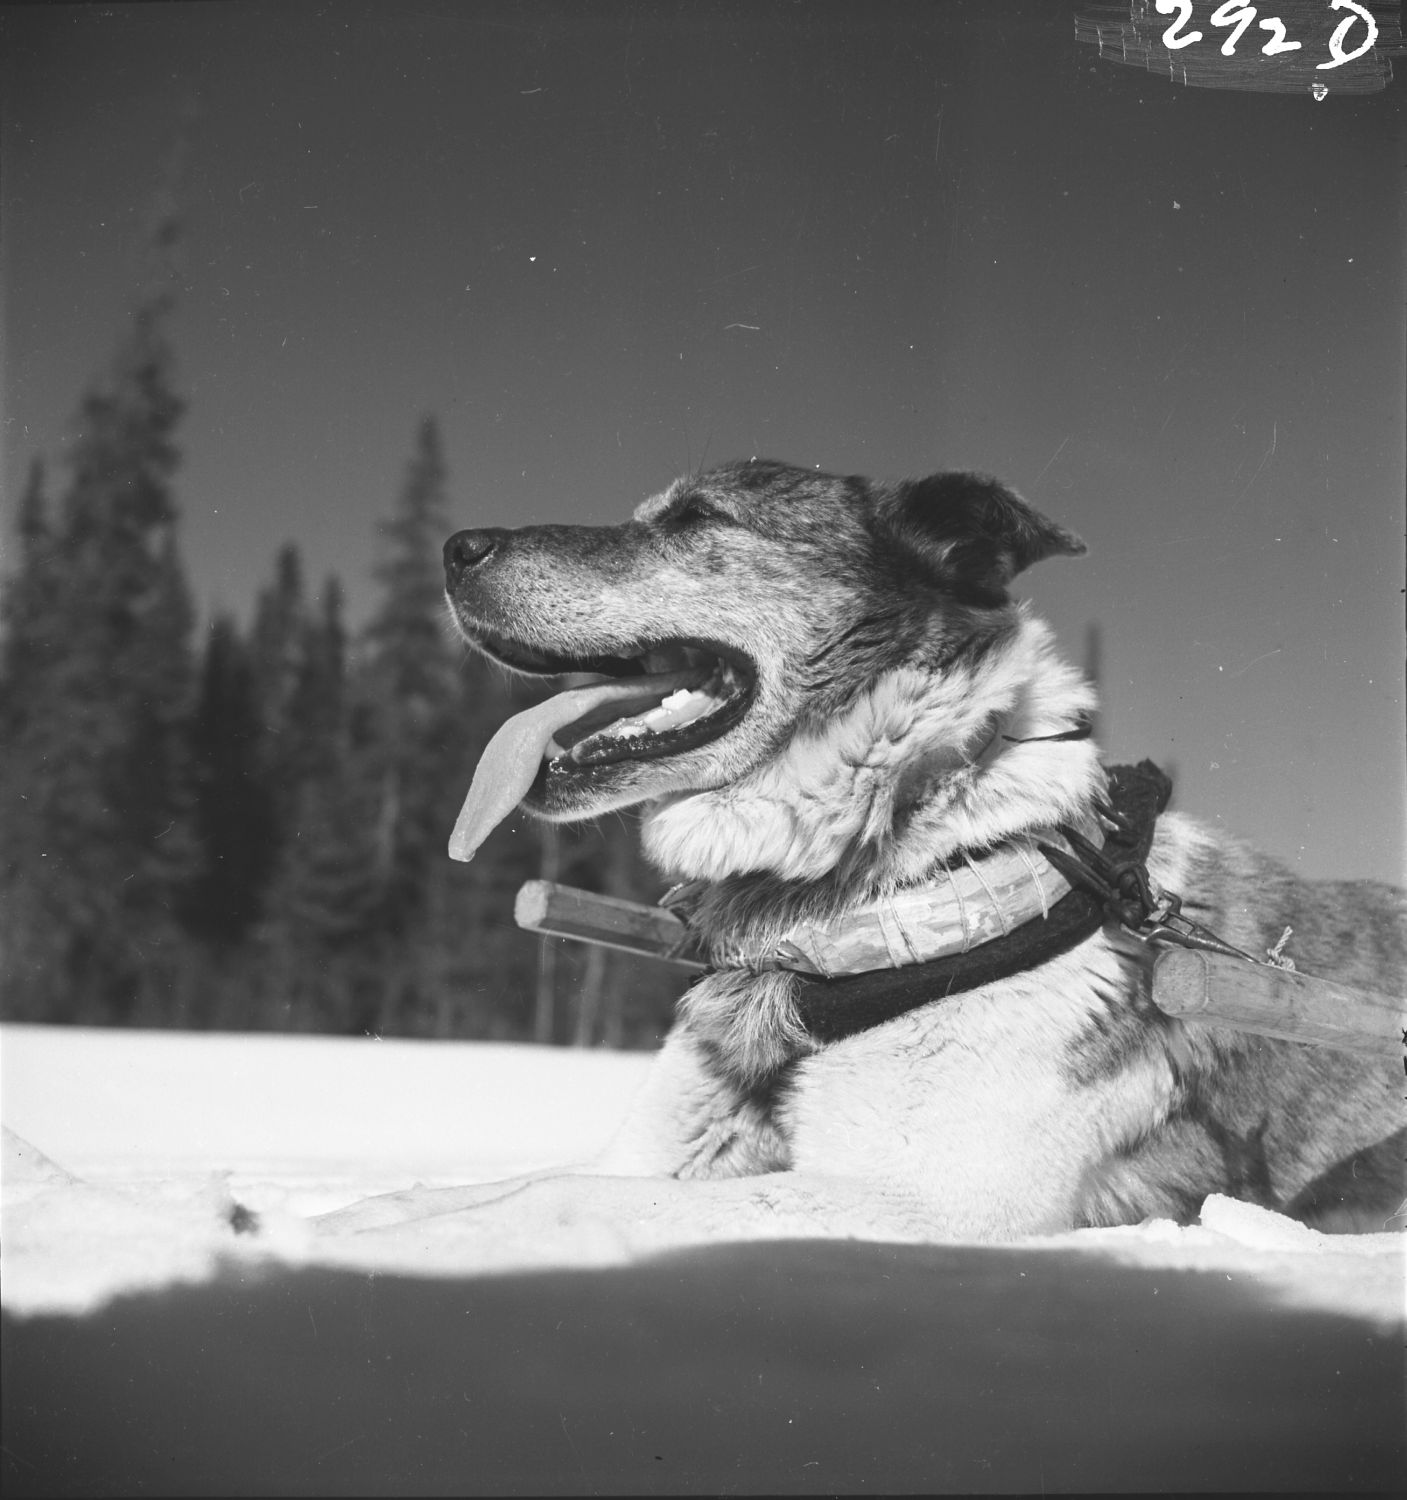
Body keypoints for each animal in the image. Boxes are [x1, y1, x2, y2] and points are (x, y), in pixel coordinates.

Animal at [321, 459, 1404, 1254]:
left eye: (696, 517)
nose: (456, 547)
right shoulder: (656, 1148)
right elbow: (510, 1184)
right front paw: (367, 1213)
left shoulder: (927, 1202)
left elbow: (561, 1203)